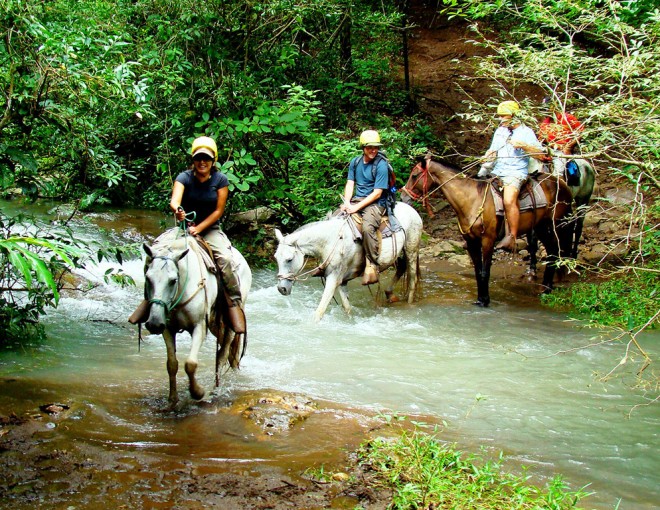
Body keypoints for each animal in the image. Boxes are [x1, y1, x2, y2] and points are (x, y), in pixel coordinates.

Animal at [143, 229, 251, 408]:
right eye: (147, 278)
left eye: (173, 280)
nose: (154, 324)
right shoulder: (167, 329)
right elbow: (172, 364)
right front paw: (172, 400)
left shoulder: (199, 326)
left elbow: (191, 364)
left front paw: (198, 392)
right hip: (216, 324)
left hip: (230, 322)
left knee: (222, 354)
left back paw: (215, 390)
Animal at [274, 201, 422, 320]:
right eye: (276, 258)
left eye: (289, 259)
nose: (282, 289)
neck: (331, 240)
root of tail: (412, 210)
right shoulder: (342, 280)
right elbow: (347, 308)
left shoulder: (333, 279)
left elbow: (319, 312)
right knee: (402, 266)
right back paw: (390, 294)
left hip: (411, 249)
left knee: (412, 278)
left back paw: (409, 304)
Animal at [400, 157, 576, 304]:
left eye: (414, 175)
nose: (403, 197)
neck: (471, 200)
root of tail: (562, 184)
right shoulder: (471, 242)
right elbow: (478, 272)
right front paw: (480, 299)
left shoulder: (488, 240)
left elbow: (485, 271)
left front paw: (485, 301)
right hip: (541, 227)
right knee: (553, 252)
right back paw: (546, 287)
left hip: (555, 225)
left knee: (556, 251)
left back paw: (547, 289)